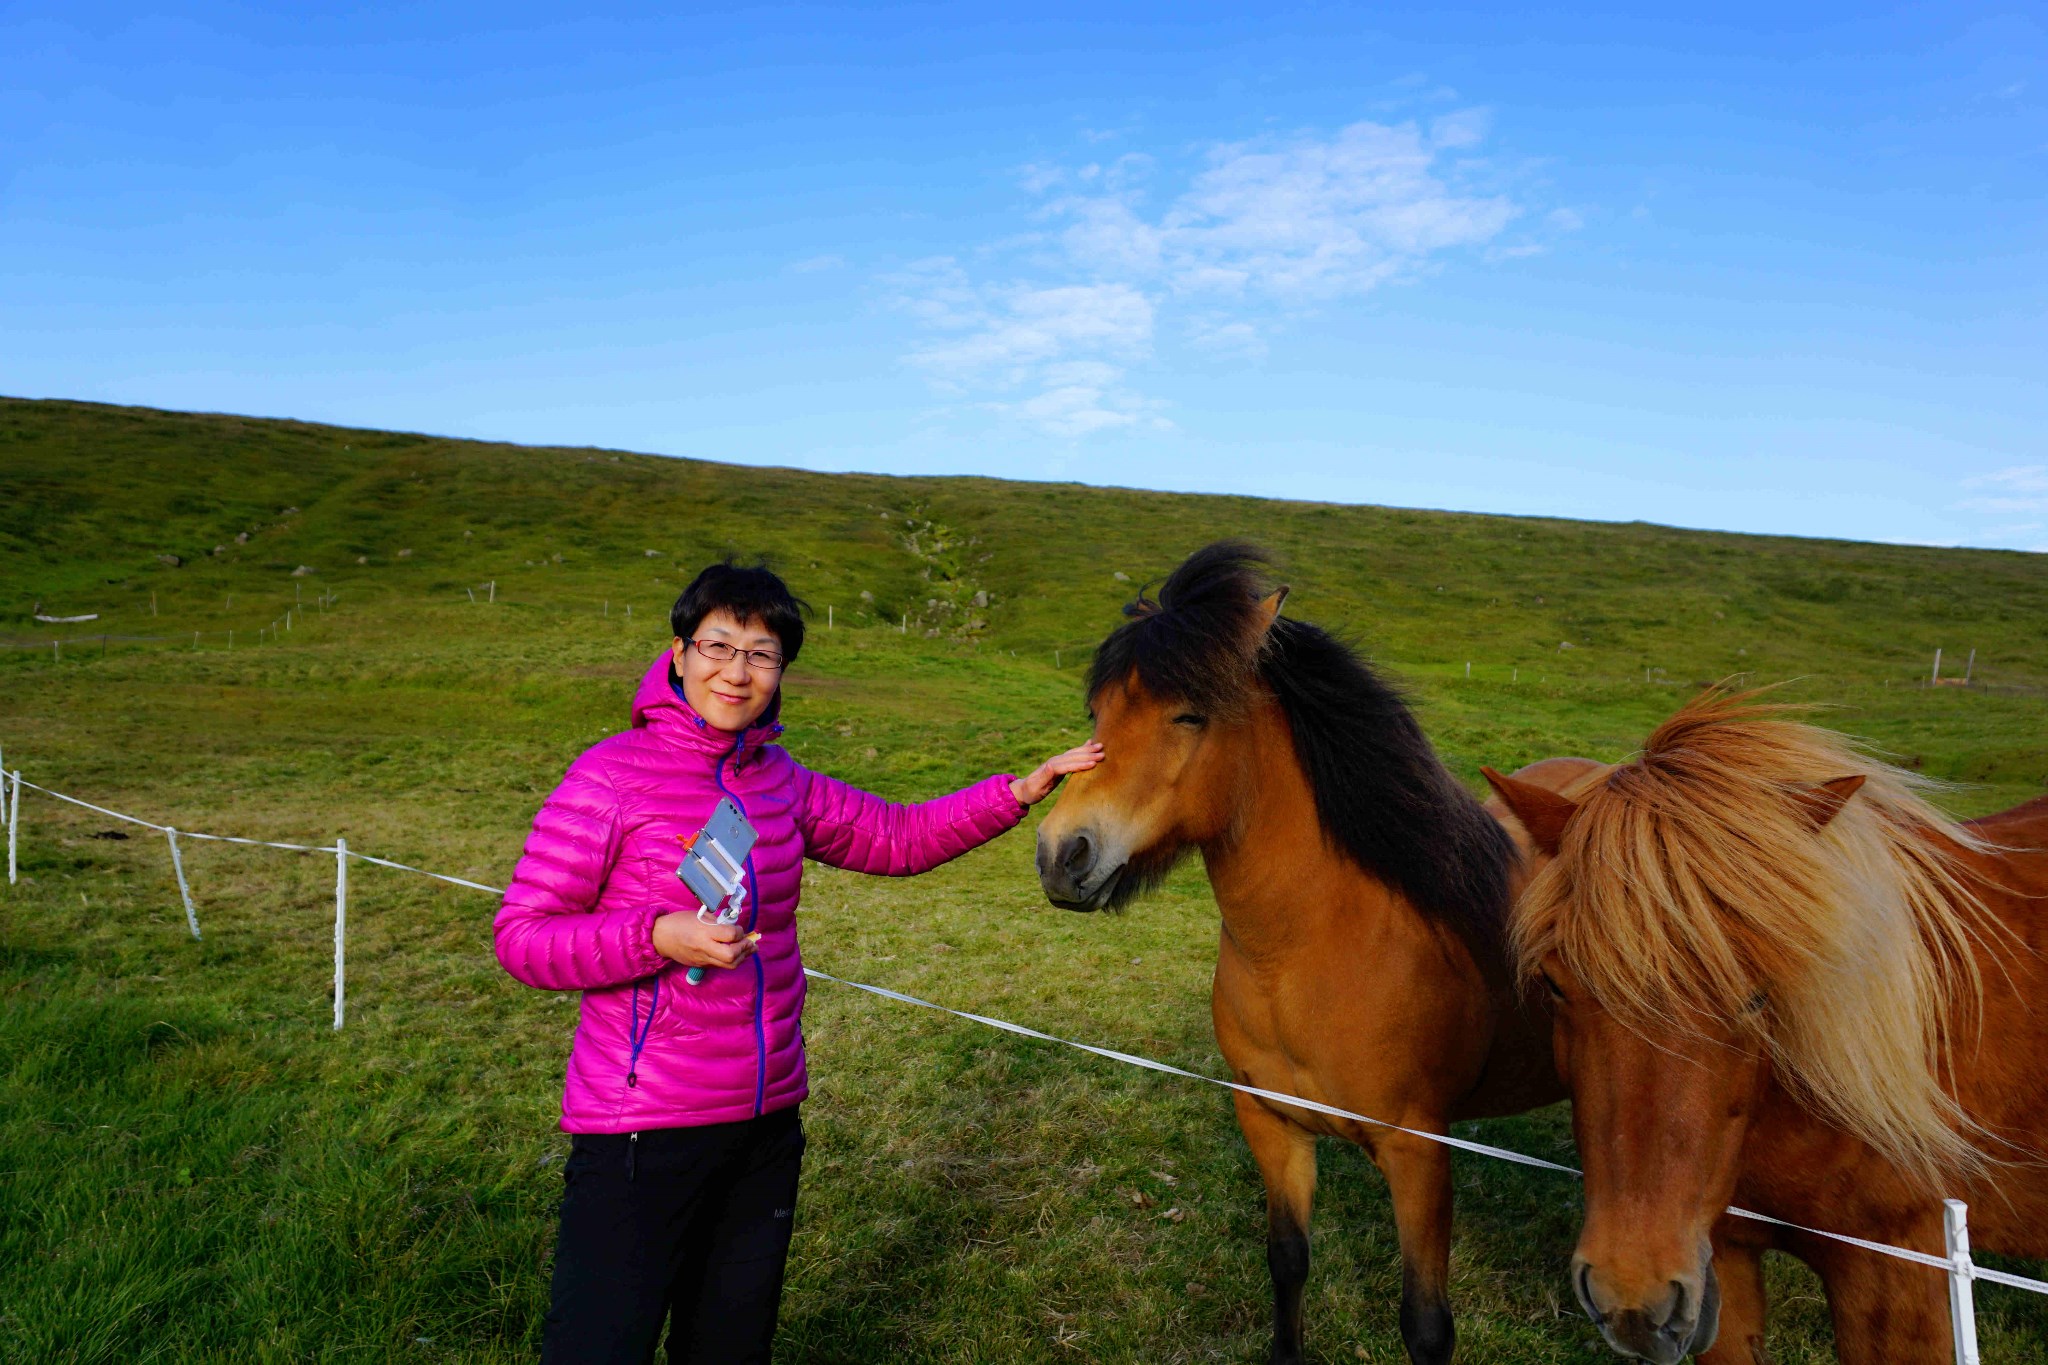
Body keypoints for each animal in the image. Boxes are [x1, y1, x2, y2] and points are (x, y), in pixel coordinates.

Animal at [1032, 544, 1556, 1365]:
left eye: (1190, 714)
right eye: (1098, 715)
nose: (1063, 855)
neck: (1308, 955)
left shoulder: (1417, 1156)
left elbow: (1426, 1324)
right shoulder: (1270, 1122)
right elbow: (1287, 1260)